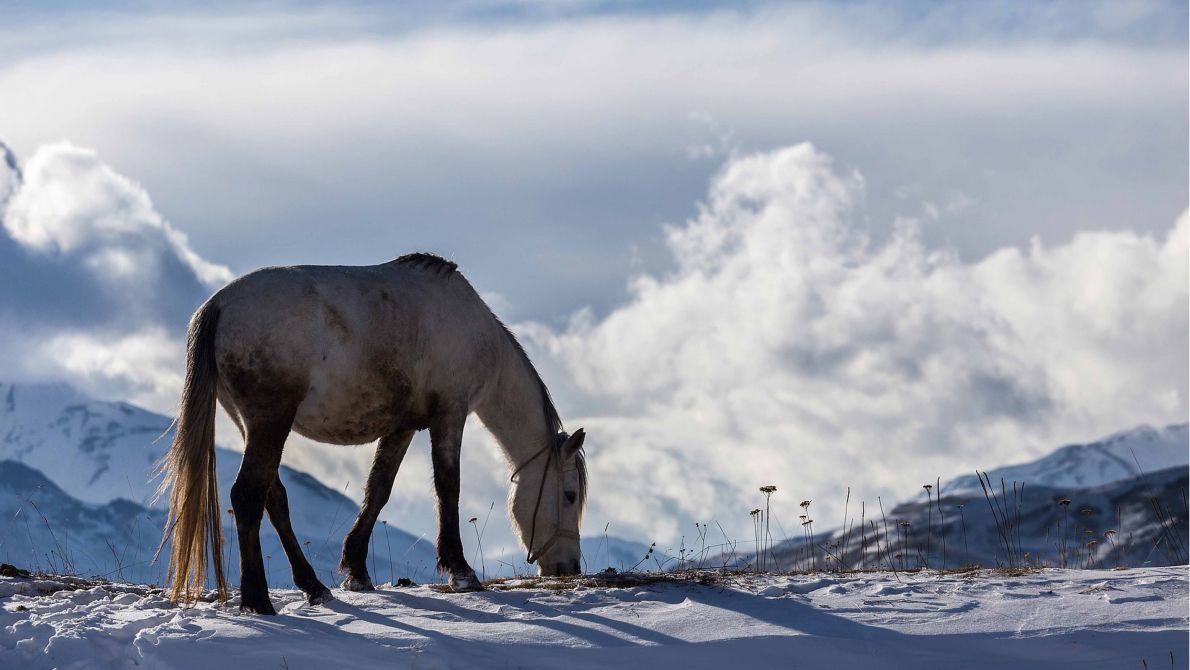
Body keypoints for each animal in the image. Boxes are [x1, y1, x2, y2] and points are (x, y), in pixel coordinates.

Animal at [158, 252, 585, 614]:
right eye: (569, 495)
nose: (569, 567)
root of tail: (218, 305)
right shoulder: (450, 415)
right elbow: (448, 487)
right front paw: (461, 571)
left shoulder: (403, 426)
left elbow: (379, 489)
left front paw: (357, 570)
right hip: (269, 423)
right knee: (248, 496)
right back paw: (258, 601)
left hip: (253, 426)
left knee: (272, 498)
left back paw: (313, 586)